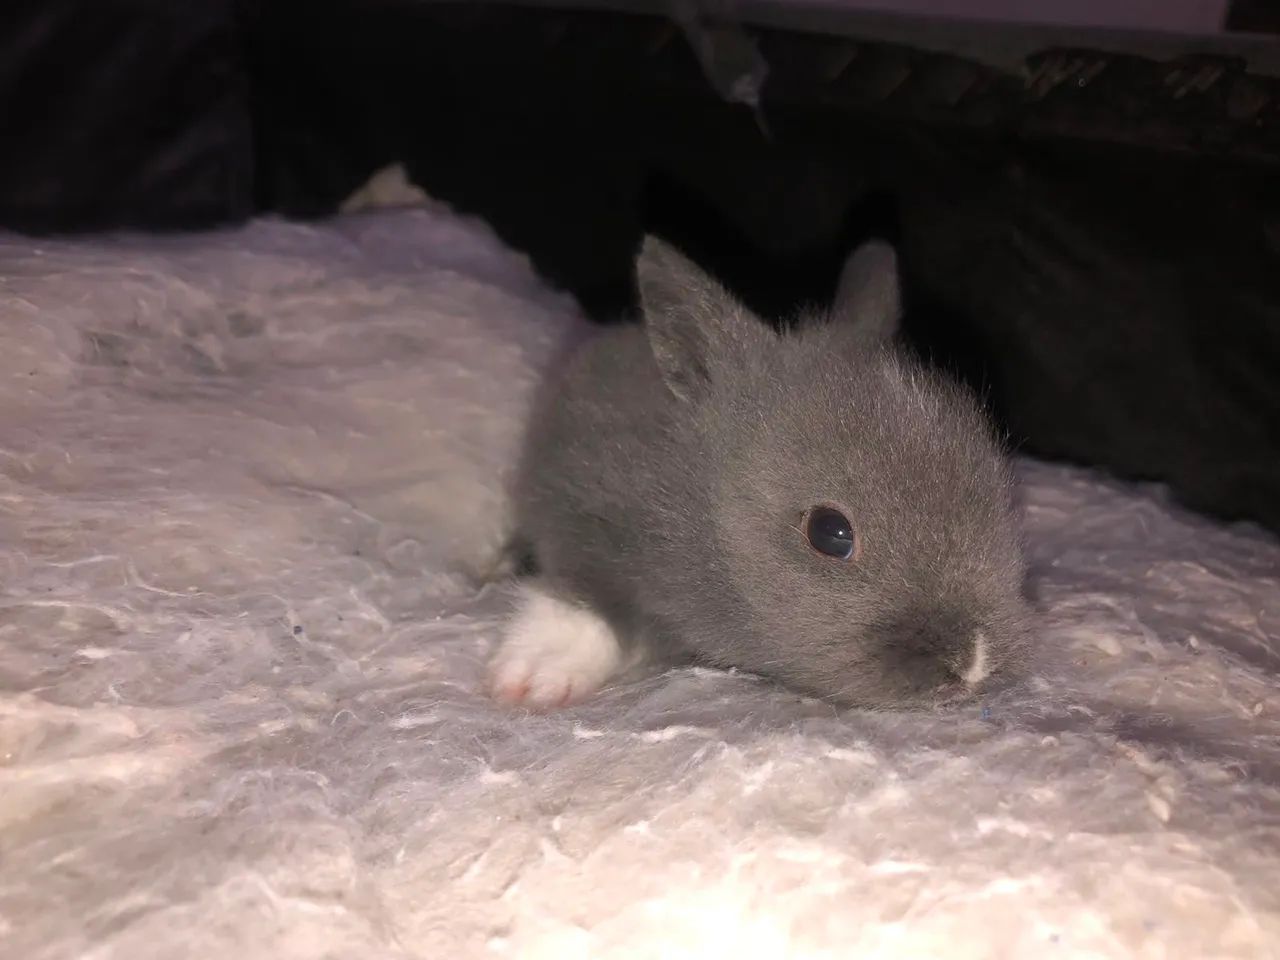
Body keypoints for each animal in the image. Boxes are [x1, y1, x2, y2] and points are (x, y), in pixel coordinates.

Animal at [487, 234, 1032, 710]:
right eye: (830, 533)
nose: (972, 663)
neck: (702, 517)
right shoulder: (580, 503)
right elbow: (586, 594)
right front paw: (534, 678)